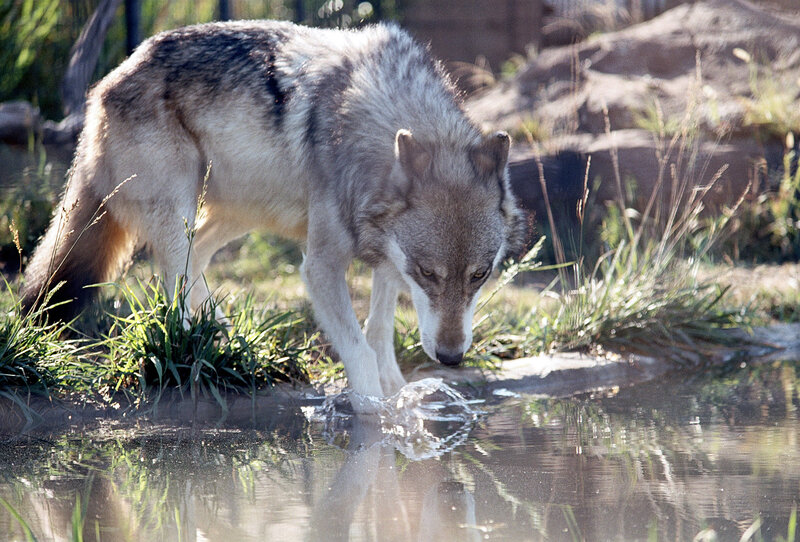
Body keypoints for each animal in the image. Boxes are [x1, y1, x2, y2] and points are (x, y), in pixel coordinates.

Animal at [21, 20, 525, 411]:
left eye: (479, 275)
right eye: (429, 273)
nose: (452, 358)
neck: (371, 120)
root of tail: (104, 86)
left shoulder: (383, 253)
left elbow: (378, 331)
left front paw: (400, 393)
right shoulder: (322, 265)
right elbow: (359, 350)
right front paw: (377, 417)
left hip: (243, 211)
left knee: (196, 259)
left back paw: (221, 332)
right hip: (180, 207)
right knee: (172, 273)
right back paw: (199, 342)